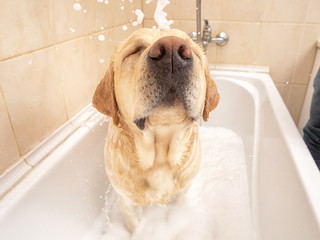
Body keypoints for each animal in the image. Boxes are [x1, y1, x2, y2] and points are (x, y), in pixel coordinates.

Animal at [91, 27, 219, 231]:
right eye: (135, 50)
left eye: (193, 50)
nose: (173, 50)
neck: (160, 157)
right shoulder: (127, 203)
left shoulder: (182, 193)